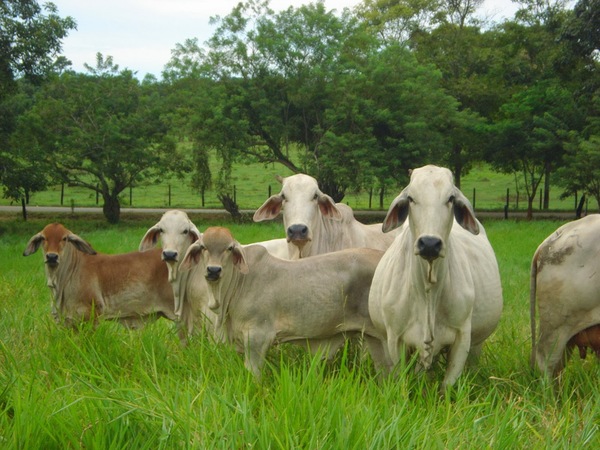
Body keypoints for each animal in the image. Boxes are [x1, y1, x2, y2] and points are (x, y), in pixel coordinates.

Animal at [368, 166, 504, 394]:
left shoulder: (462, 338)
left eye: (451, 198)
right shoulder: (395, 338)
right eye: (411, 198)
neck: (428, 292)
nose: (430, 243)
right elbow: (403, 382)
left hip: (476, 344)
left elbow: (447, 387)